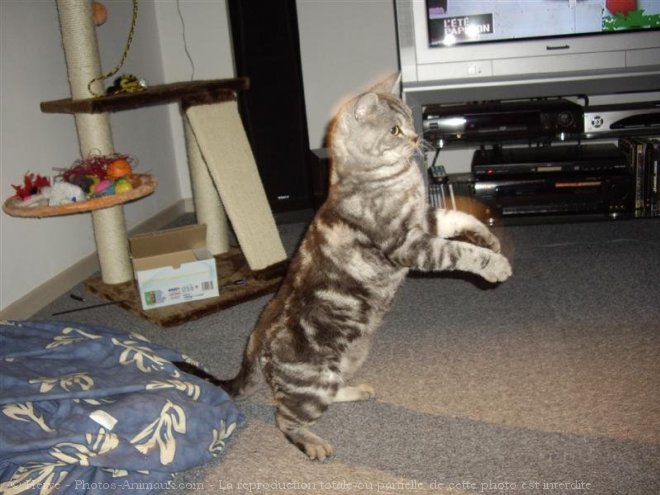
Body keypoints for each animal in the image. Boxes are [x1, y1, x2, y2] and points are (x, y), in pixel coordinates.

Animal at [217, 73, 510, 462]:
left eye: (410, 121)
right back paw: (314, 443)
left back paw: (359, 391)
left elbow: (461, 219)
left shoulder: (425, 221)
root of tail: (255, 337)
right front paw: (495, 265)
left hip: (351, 357)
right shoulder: (409, 245)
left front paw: (489, 239)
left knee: (325, 394)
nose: (416, 138)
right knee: (285, 417)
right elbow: (460, 252)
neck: (395, 178)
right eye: (395, 130)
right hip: (313, 383)